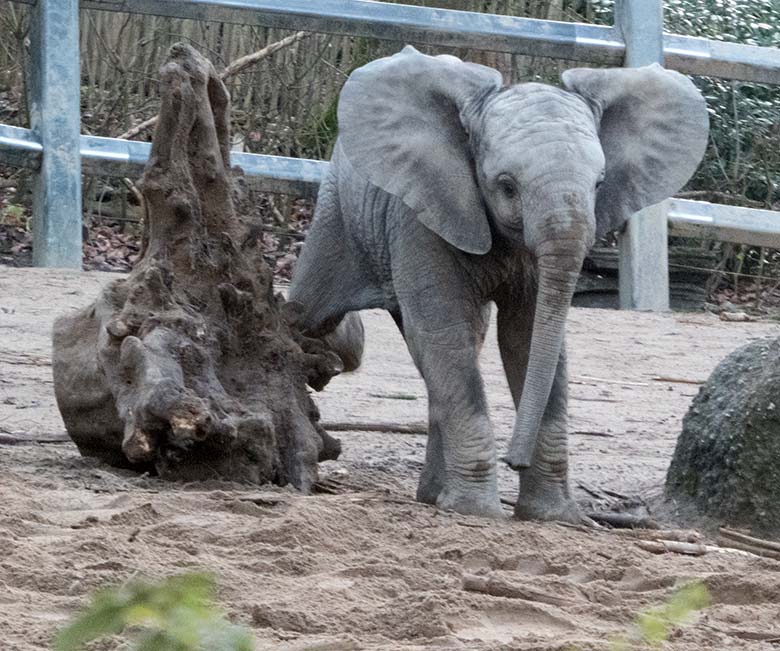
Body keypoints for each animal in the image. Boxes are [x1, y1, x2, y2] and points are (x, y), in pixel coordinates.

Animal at [290, 45, 708, 524]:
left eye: (600, 184)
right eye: (506, 186)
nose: (515, 460)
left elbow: (527, 339)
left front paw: (553, 517)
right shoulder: (421, 215)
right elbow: (445, 333)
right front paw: (476, 512)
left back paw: (432, 495)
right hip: (337, 208)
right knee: (314, 313)